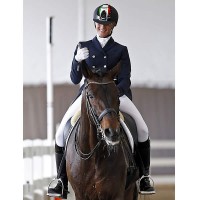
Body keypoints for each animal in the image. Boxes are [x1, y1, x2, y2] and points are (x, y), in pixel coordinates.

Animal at [65, 62, 139, 200]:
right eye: (91, 96)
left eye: (117, 95)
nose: (112, 132)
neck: (93, 156)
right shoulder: (80, 194)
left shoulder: (116, 194)